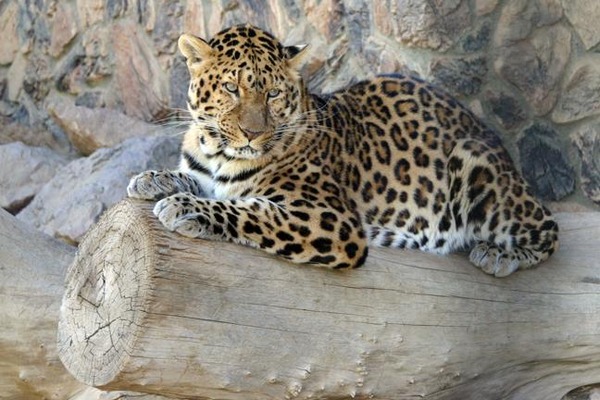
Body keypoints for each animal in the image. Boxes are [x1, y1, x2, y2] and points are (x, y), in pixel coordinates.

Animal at [126, 23, 556, 276]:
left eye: (273, 94)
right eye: (232, 88)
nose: (252, 134)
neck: (219, 152)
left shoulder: (330, 219)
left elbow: (249, 210)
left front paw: (187, 208)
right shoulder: (205, 169)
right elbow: (191, 177)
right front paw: (152, 179)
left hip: (474, 162)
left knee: (549, 229)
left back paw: (499, 254)